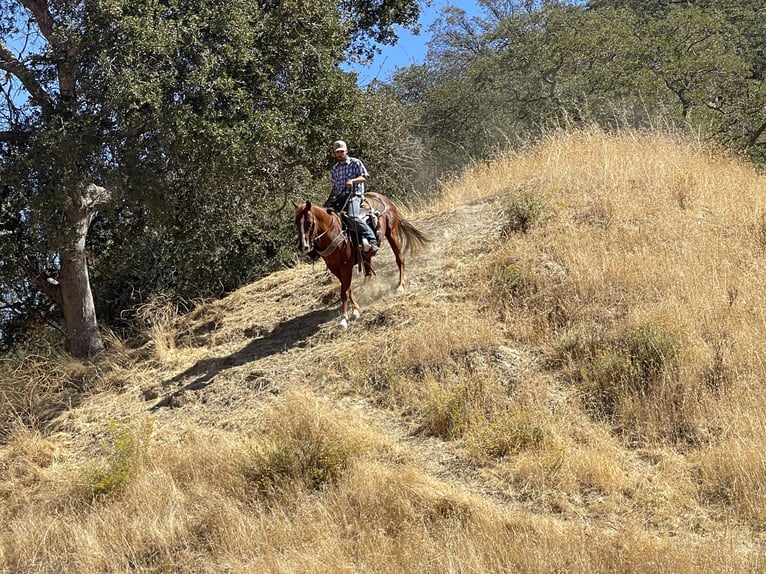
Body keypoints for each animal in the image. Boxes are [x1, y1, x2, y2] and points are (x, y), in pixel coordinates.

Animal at [294, 192, 432, 328]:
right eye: (296, 223)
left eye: (309, 222)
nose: (303, 247)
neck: (334, 233)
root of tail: (382, 197)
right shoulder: (334, 268)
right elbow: (347, 288)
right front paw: (355, 309)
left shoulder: (346, 266)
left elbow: (344, 291)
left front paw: (344, 318)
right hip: (367, 255)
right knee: (369, 273)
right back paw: (364, 290)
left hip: (392, 233)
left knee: (400, 259)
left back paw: (400, 286)